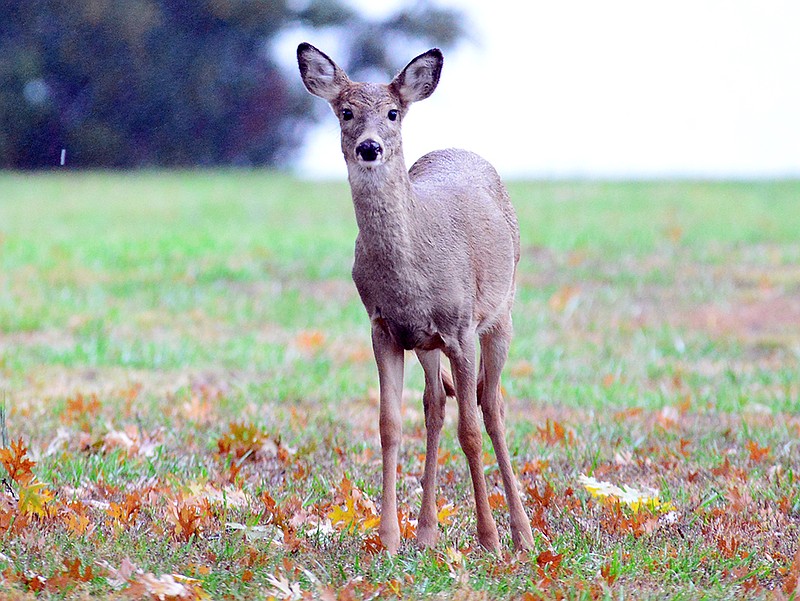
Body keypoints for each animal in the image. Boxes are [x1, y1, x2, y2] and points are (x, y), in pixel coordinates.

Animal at [296, 39, 536, 552]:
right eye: (345, 111)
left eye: (392, 112)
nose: (370, 147)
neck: (411, 275)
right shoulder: (383, 327)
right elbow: (389, 425)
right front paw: (388, 537)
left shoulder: (461, 328)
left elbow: (471, 429)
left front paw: (488, 537)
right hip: (426, 344)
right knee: (435, 406)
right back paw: (425, 532)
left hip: (502, 314)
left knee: (492, 406)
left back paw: (522, 533)